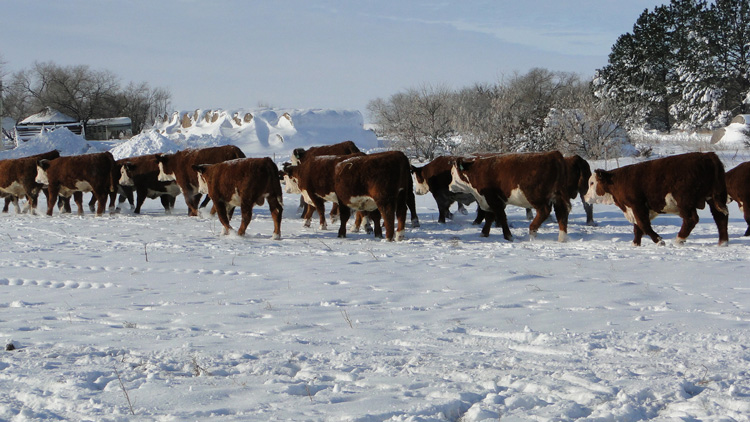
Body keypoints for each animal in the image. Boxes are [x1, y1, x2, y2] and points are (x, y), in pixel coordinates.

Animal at [584, 152, 729, 246]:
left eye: (591, 183)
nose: (585, 197)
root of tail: (708, 155)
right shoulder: (636, 209)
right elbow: (637, 228)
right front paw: (635, 244)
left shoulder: (637, 205)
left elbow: (644, 225)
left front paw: (659, 241)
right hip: (715, 197)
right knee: (720, 217)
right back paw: (723, 243)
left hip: (684, 201)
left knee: (691, 219)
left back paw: (678, 240)